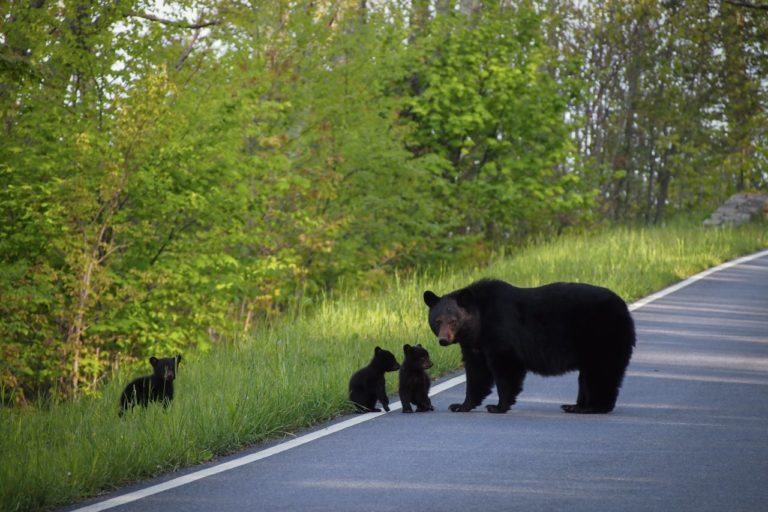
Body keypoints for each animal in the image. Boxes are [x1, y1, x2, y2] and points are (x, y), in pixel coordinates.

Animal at [424, 280, 632, 416]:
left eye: (453, 320)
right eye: (437, 321)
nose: (443, 340)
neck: (480, 322)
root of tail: (623, 307)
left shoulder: (500, 332)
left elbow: (505, 368)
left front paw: (498, 406)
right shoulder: (474, 345)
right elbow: (477, 373)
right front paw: (460, 405)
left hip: (601, 335)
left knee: (600, 371)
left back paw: (592, 407)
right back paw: (574, 406)